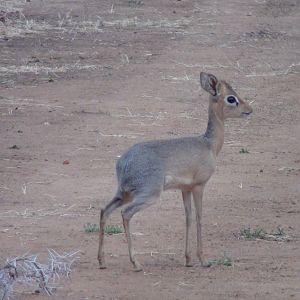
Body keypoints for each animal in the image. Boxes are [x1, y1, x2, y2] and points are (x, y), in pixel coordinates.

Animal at [97, 71, 252, 270]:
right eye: (231, 98)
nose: (249, 110)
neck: (209, 145)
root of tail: (123, 162)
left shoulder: (185, 189)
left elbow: (188, 218)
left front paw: (188, 259)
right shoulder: (199, 186)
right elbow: (199, 217)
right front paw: (203, 259)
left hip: (124, 193)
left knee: (105, 210)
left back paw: (102, 261)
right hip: (149, 195)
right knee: (125, 213)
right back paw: (136, 262)